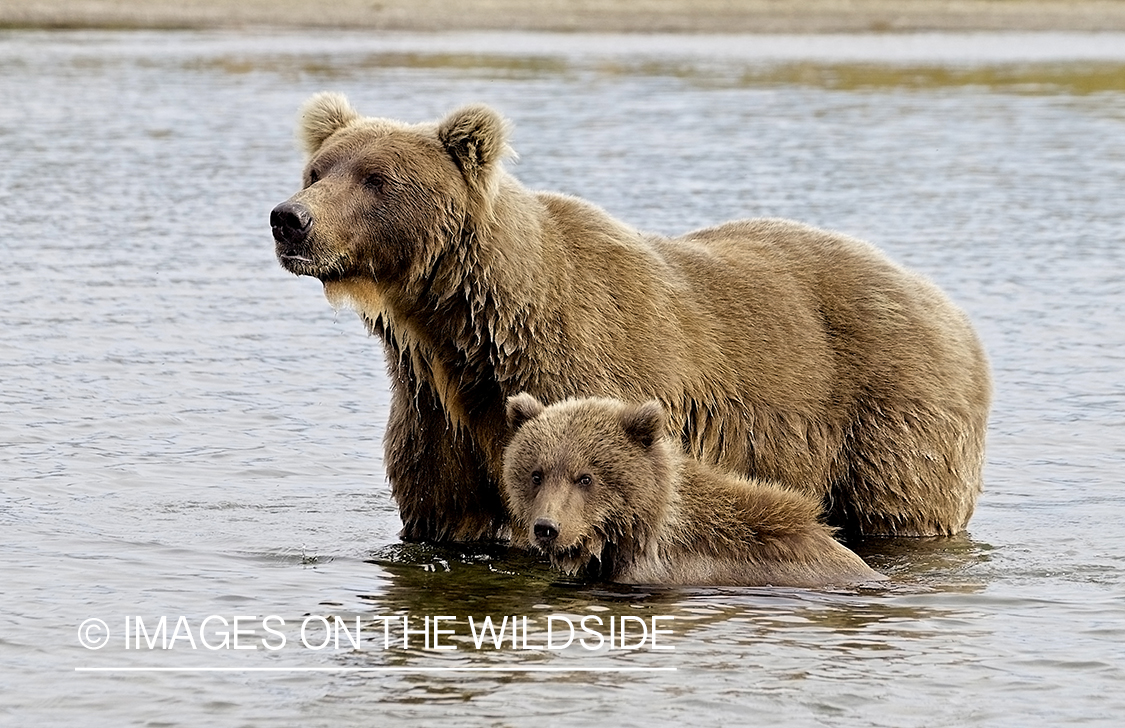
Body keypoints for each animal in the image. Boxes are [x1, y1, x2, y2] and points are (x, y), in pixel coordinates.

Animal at [272, 91, 994, 544]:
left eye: (376, 178)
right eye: (317, 169)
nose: (290, 219)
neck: (462, 332)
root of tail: (952, 310)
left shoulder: (576, 378)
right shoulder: (433, 412)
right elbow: (442, 507)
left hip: (886, 415)